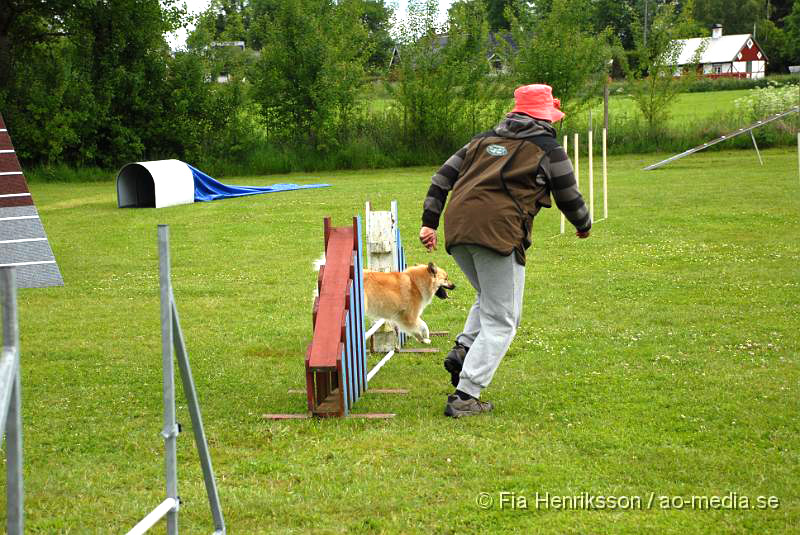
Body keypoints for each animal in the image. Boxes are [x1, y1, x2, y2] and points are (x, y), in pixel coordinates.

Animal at [314, 258, 456, 346]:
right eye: (446, 278)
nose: (455, 286)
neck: (416, 284)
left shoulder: (400, 318)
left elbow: (416, 328)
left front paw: (421, 339)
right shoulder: (409, 317)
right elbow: (423, 326)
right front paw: (425, 338)